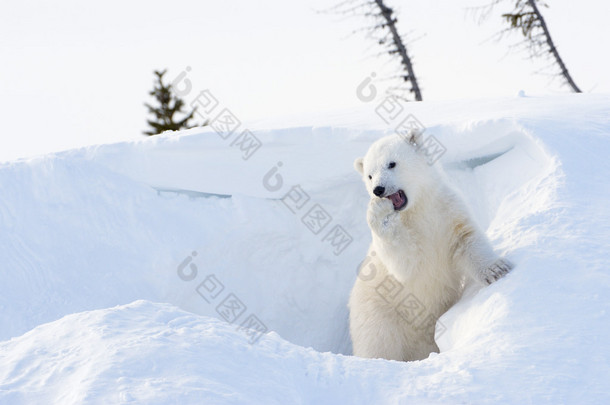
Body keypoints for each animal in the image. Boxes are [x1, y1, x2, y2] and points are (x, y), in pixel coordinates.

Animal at [346, 132, 508, 360]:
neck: (418, 208)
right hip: (379, 318)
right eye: (369, 175)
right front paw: (381, 214)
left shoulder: (447, 209)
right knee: (379, 345)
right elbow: (404, 262)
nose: (378, 190)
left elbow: (466, 239)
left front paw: (496, 270)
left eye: (391, 163)